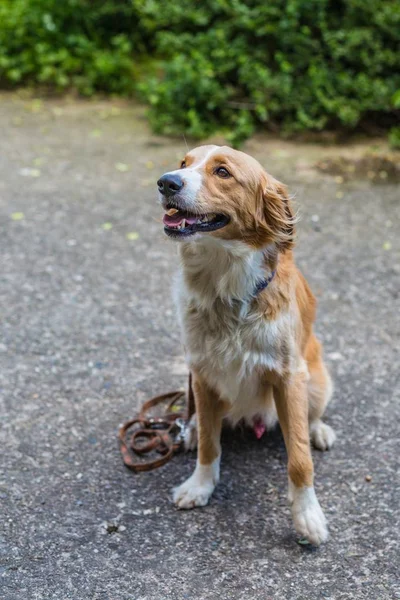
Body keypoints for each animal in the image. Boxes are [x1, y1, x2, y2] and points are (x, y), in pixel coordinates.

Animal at [158, 144, 336, 544]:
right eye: (183, 163)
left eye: (222, 172)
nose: (165, 182)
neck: (225, 289)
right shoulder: (202, 375)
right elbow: (210, 444)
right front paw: (200, 485)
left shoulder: (289, 377)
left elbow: (299, 457)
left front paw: (308, 516)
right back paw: (190, 429)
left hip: (316, 379)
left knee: (313, 415)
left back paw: (319, 429)